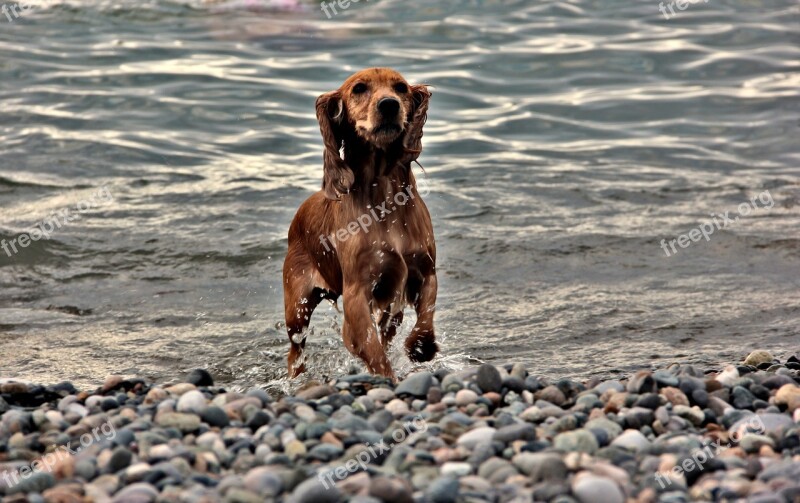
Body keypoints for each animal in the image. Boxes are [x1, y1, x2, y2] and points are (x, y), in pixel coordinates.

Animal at [282, 69, 438, 380]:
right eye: (359, 89)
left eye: (400, 88)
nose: (389, 104)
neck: (383, 195)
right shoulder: (357, 294)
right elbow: (373, 350)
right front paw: (389, 377)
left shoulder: (424, 270)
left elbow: (426, 314)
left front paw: (421, 347)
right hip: (297, 307)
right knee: (296, 348)